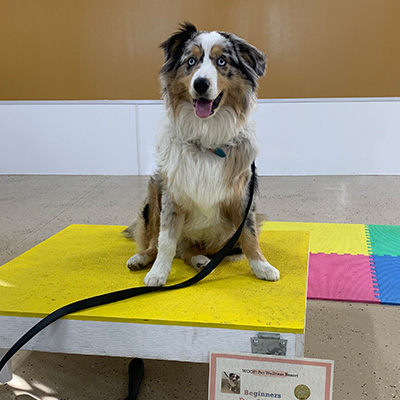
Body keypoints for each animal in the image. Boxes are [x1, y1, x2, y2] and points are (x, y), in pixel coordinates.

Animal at [123, 21, 280, 286]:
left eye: (222, 61)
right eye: (190, 61)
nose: (200, 84)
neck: (206, 136)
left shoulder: (242, 197)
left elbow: (249, 235)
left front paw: (262, 266)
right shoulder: (172, 192)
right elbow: (166, 240)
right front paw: (158, 273)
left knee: (190, 251)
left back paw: (201, 262)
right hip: (154, 191)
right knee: (157, 243)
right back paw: (142, 259)